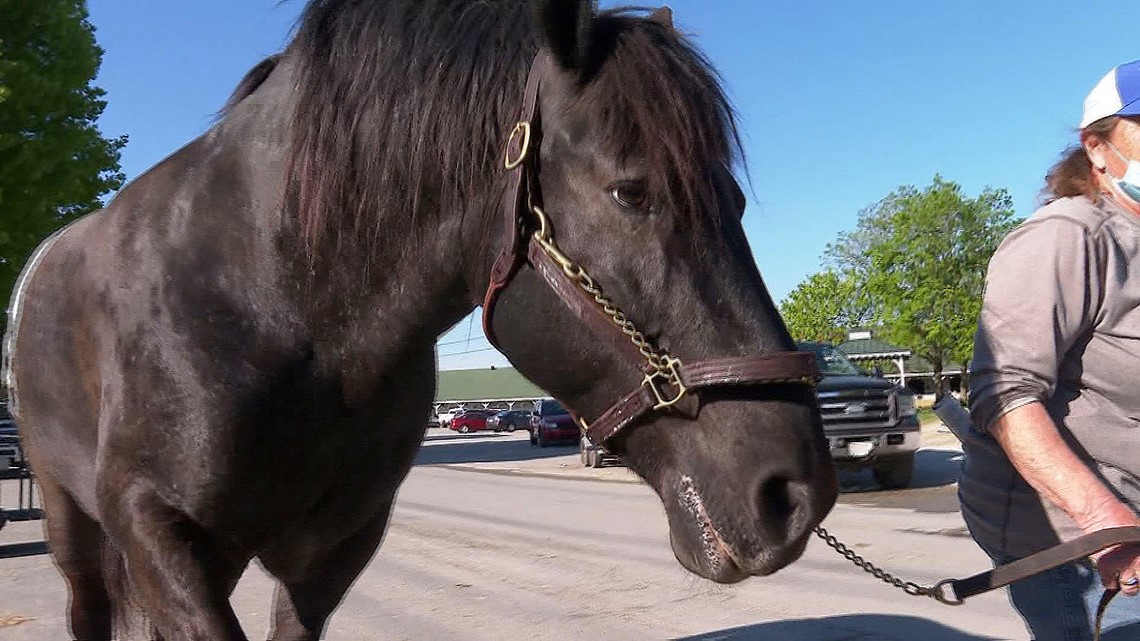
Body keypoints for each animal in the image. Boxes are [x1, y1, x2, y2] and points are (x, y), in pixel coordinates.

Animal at [2, 1, 838, 638]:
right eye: (632, 192)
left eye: (733, 198)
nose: (794, 491)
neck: (278, 303)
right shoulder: (156, 532)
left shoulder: (333, 552)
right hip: (73, 522)